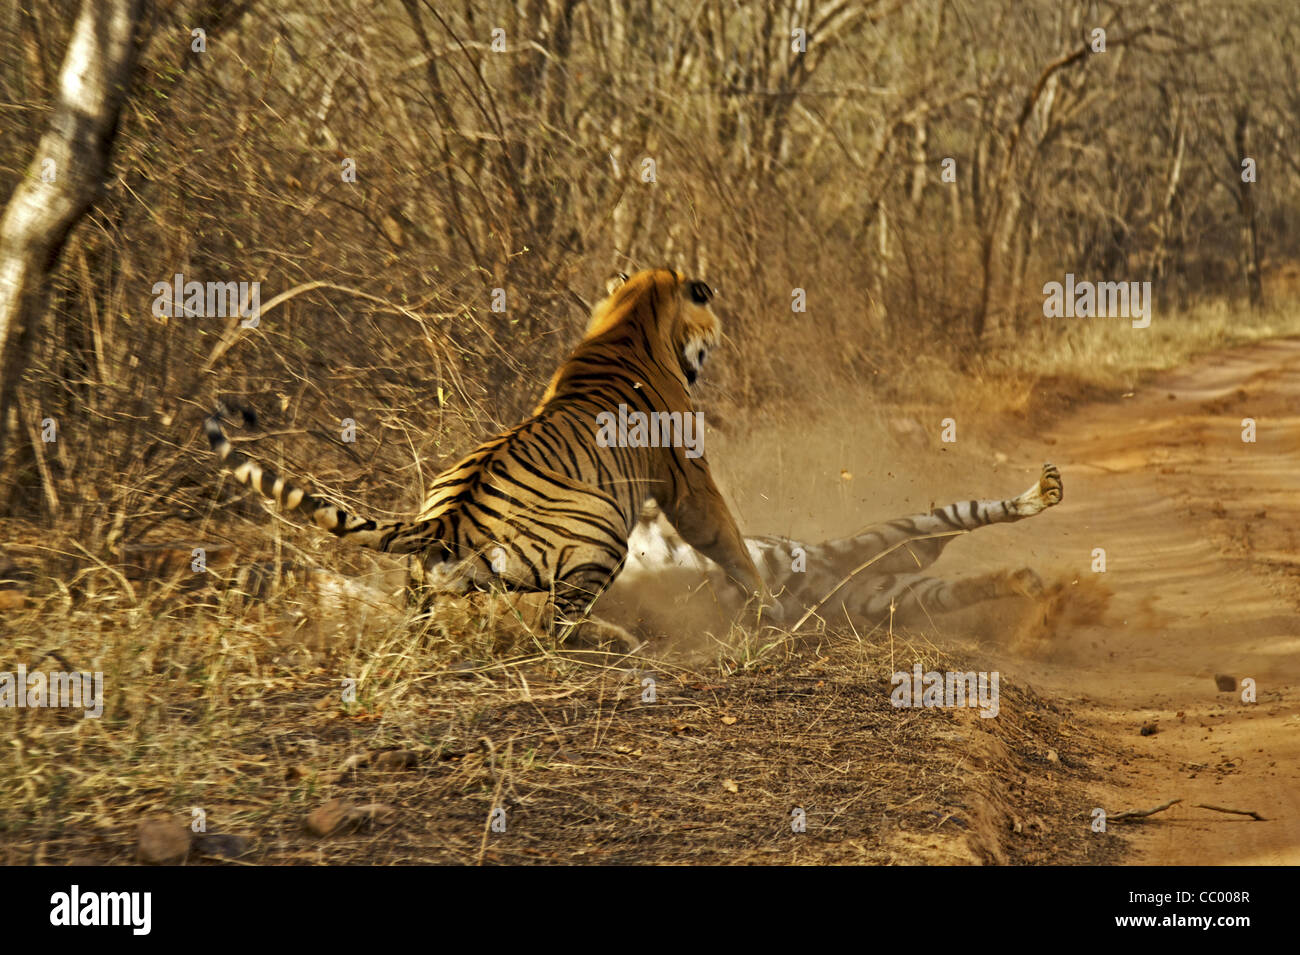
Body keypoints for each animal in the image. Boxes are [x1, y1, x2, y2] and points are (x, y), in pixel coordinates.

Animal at [202, 268, 769, 649]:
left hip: (430, 571)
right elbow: (728, 540)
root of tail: (445, 522)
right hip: (604, 526)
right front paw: (768, 604)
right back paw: (618, 643)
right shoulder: (689, 480)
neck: (633, 315)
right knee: (553, 629)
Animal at [603, 465, 1060, 634]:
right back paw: (1033, 588)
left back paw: (1043, 492)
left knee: (969, 514)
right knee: (958, 582)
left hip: (893, 535)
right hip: (896, 593)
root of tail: (837, 571)